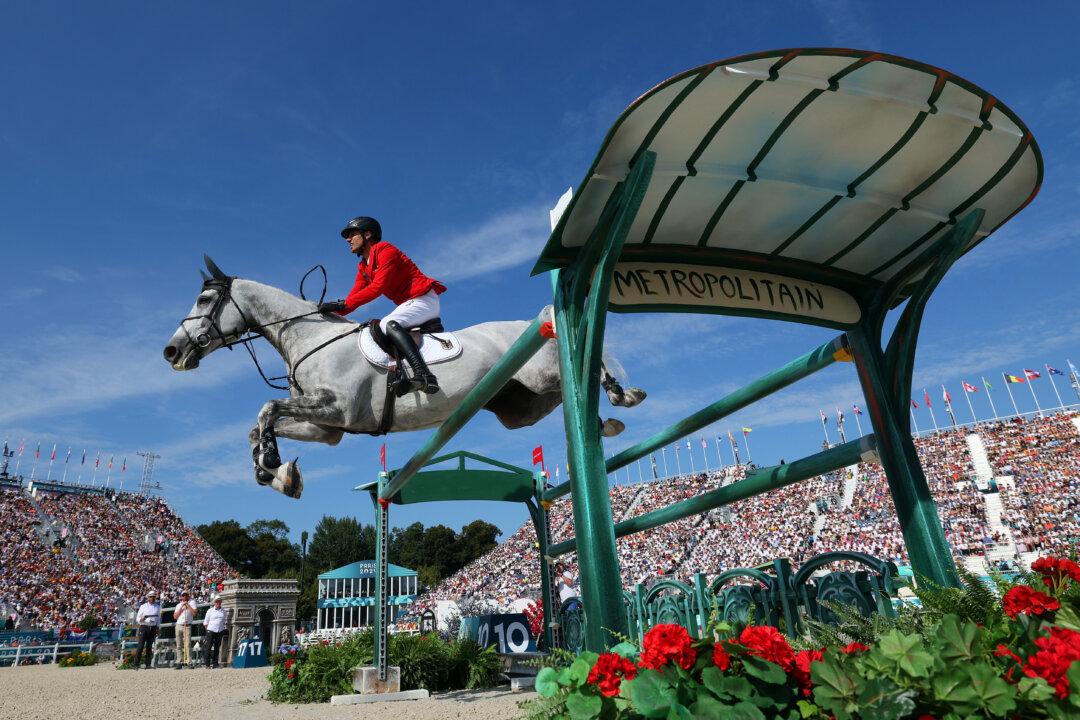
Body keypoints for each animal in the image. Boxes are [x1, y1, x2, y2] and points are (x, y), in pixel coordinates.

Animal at [164, 255, 643, 498]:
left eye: (204, 299)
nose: (173, 352)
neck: (310, 337)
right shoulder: (325, 427)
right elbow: (259, 424)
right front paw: (277, 473)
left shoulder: (337, 408)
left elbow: (266, 408)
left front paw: (270, 465)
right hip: (521, 406)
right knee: (564, 394)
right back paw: (604, 422)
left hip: (541, 370)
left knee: (581, 361)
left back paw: (619, 394)